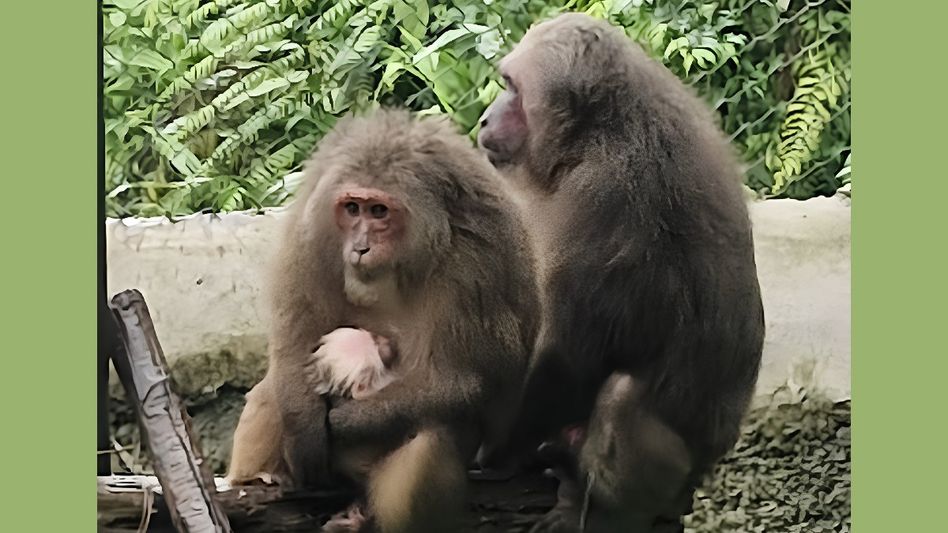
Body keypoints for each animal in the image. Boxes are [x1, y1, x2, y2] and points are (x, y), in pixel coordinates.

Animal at [227, 108, 540, 532]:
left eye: (379, 212)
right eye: (352, 209)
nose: (360, 247)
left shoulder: (473, 269)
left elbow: (462, 382)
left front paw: (344, 420)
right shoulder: (312, 239)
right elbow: (293, 347)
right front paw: (307, 428)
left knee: (430, 437)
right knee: (275, 387)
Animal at [477, 12, 765, 533]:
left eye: (511, 88)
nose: (486, 117)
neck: (599, 130)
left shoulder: (602, 195)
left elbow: (568, 356)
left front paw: (495, 451)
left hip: (677, 478)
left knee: (621, 399)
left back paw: (600, 509)